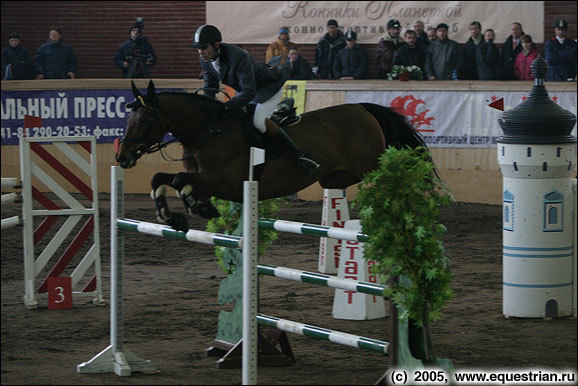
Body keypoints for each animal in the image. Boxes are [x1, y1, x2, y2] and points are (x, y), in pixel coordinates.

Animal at [116, 80, 428, 231]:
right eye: (130, 117)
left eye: (144, 121)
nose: (122, 158)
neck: (208, 132)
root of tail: (362, 108)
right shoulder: (204, 180)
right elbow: (161, 178)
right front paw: (172, 215)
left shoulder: (225, 183)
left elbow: (180, 180)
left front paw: (194, 207)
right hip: (335, 177)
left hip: (372, 164)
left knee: (400, 171)